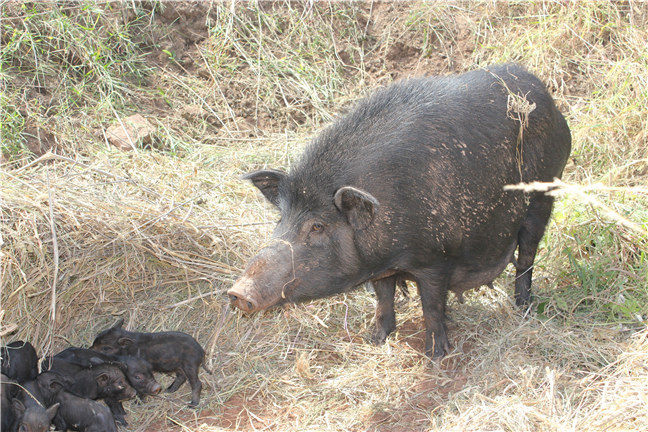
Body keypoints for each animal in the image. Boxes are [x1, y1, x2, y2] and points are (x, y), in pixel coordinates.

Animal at [225, 63, 568, 358]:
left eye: (317, 226)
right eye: (280, 218)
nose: (237, 292)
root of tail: (549, 99)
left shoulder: (436, 259)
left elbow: (431, 305)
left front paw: (437, 354)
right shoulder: (380, 266)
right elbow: (383, 297)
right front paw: (376, 339)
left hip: (544, 195)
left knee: (527, 256)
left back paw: (524, 307)